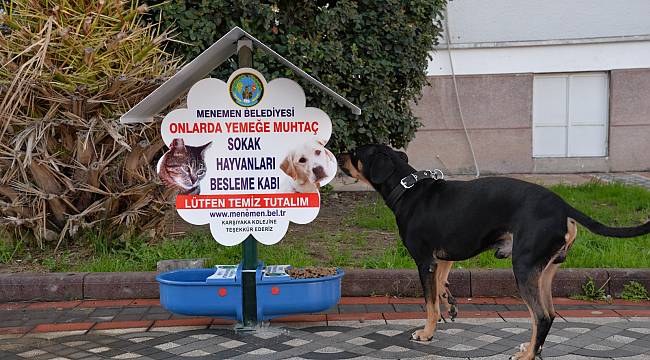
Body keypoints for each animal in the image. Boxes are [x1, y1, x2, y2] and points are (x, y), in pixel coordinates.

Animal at [336, 145, 644, 360]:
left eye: (355, 152)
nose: (337, 155)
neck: (407, 189)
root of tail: (563, 207)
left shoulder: (425, 261)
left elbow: (429, 304)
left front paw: (426, 333)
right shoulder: (443, 259)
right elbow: (440, 289)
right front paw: (450, 304)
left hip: (524, 268)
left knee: (541, 316)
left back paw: (528, 354)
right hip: (545, 271)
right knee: (550, 313)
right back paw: (534, 349)